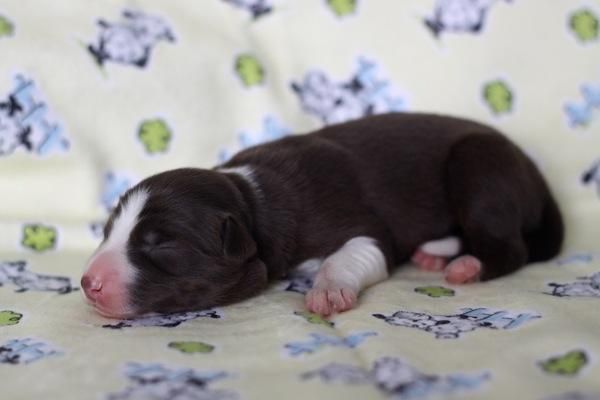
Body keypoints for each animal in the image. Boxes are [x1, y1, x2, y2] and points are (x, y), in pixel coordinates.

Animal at [81, 113, 564, 318]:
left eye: (162, 243)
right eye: (107, 231)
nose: (88, 283)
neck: (253, 200)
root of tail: (536, 174)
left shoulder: (360, 225)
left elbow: (354, 252)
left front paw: (328, 291)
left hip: (478, 164)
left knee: (510, 247)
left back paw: (466, 266)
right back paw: (435, 251)